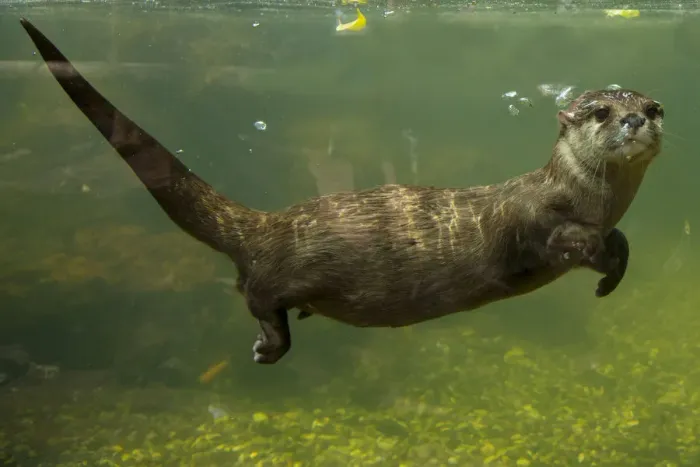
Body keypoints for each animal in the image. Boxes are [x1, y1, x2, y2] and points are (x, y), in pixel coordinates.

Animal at [19, 18, 664, 365]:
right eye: (602, 112)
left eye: (654, 105)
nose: (638, 120)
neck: (584, 196)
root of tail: (265, 224)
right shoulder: (538, 219)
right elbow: (568, 241)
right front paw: (599, 257)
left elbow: (619, 242)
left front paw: (611, 275)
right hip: (280, 269)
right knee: (254, 293)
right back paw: (268, 345)